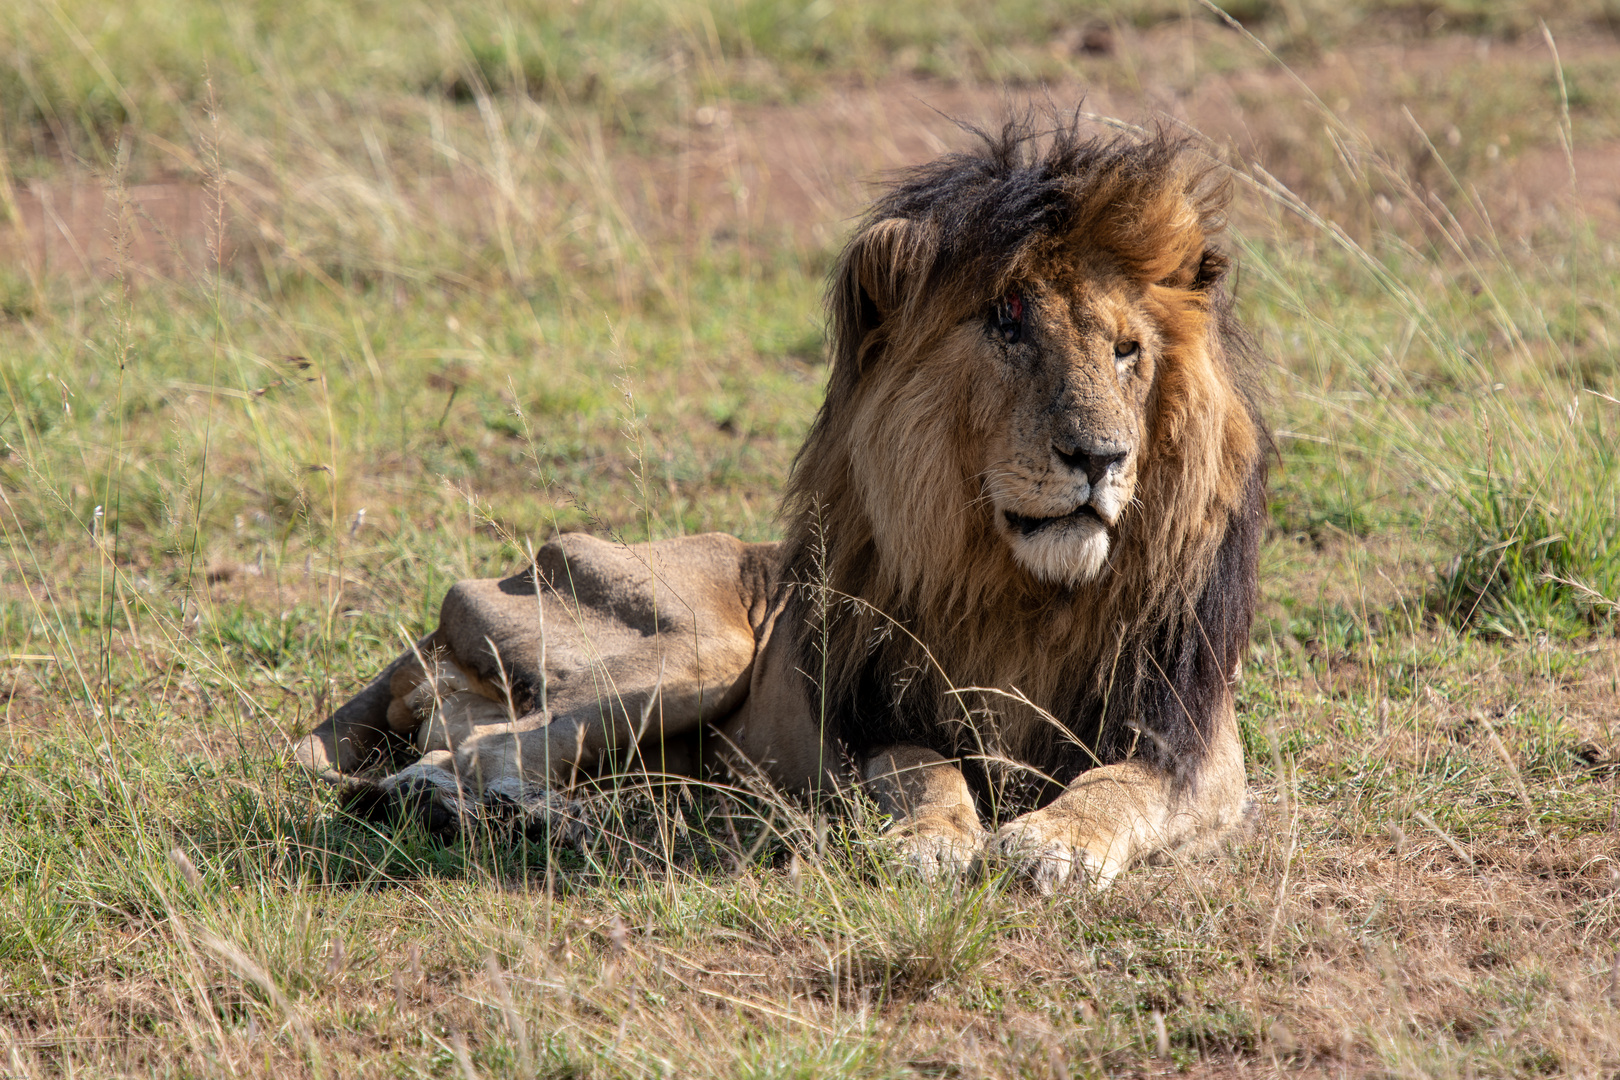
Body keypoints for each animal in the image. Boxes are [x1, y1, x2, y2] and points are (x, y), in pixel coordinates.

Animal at [298, 120, 1270, 893]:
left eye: (1127, 351)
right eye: (1008, 325)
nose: (1100, 457)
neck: (1023, 592)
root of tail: (472, 594)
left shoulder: (1195, 742)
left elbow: (1121, 785)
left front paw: (1057, 840)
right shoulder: (872, 721)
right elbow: (929, 769)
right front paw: (932, 843)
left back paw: (544, 819)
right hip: (699, 651)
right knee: (470, 752)